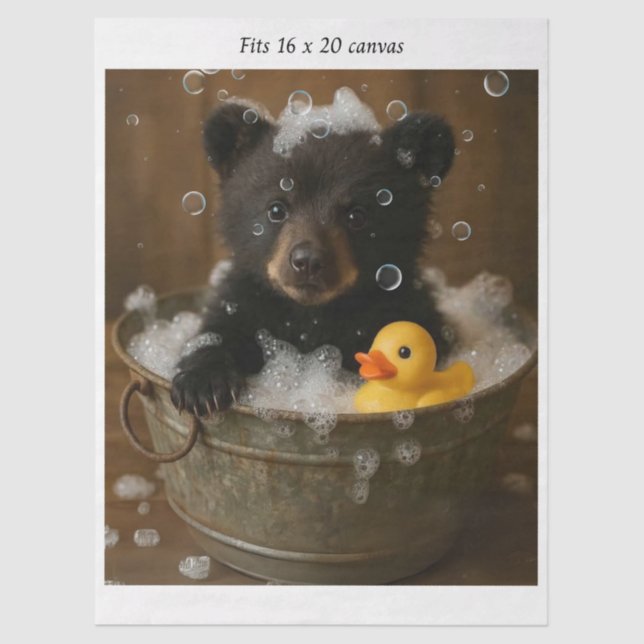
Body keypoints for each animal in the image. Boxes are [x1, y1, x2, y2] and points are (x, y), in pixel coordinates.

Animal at [170, 90, 455, 417]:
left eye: (357, 215)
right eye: (276, 209)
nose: (307, 261)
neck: (312, 316)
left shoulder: (405, 307)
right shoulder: (246, 301)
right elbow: (216, 332)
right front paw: (201, 384)